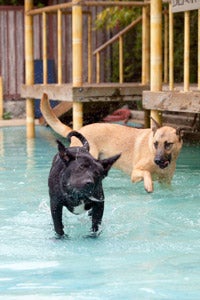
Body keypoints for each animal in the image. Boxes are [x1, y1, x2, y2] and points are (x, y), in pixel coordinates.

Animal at [40, 92, 183, 193]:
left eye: (168, 144)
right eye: (155, 143)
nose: (157, 160)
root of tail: (79, 130)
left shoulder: (165, 182)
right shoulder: (135, 173)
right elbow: (146, 173)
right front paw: (149, 185)